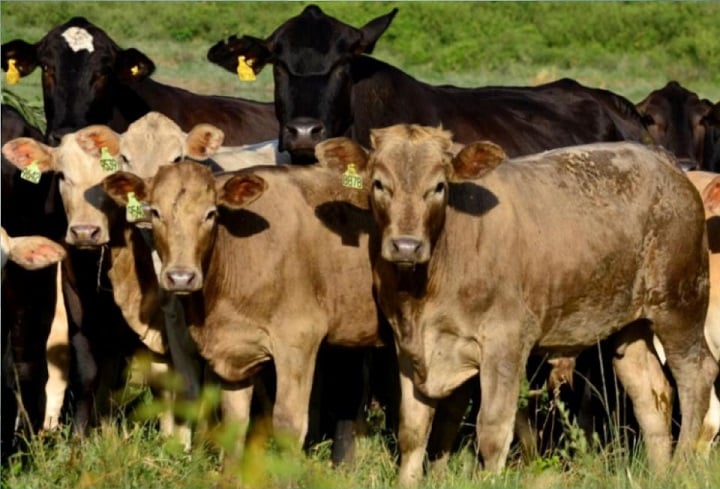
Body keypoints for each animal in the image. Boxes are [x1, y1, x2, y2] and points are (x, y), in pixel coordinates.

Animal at [324, 124, 716, 482]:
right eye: (378, 183)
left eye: (438, 186)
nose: (406, 245)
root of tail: (663, 161)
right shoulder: (408, 348)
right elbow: (413, 431)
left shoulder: (506, 342)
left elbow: (493, 430)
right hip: (629, 326)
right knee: (652, 395)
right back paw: (660, 473)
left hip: (680, 306)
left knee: (696, 377)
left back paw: (681, 467)